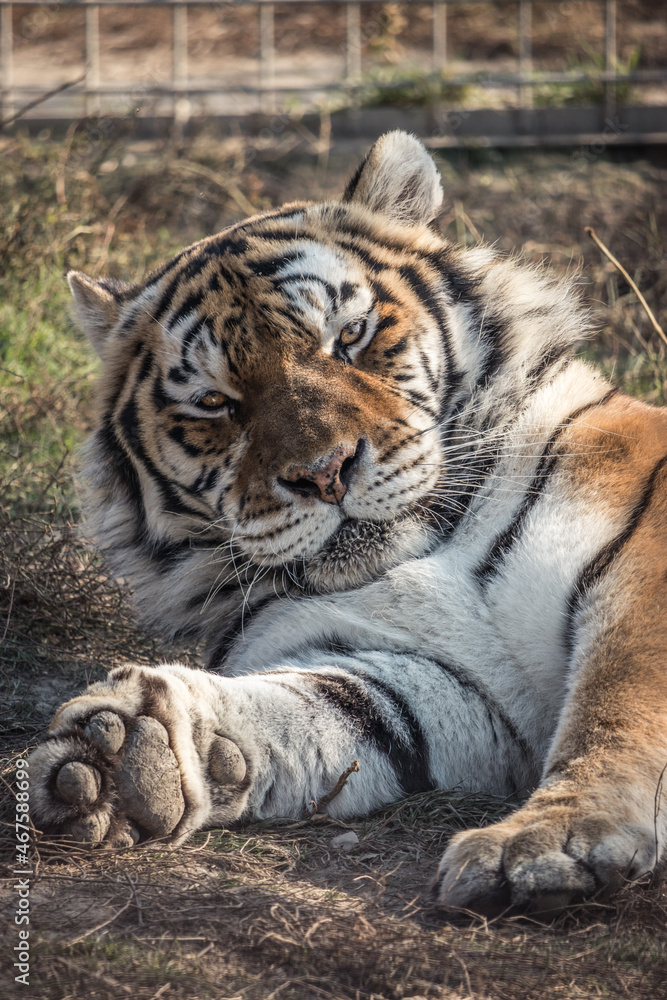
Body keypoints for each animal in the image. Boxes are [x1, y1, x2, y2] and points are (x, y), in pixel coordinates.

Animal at [30, 131, 667, 916]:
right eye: (215, 402)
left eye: (351, 336)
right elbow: (324, 709)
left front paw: (549, 842)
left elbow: (615, 707)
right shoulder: (435, 678)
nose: (325, 471)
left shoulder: (640, 567)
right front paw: (127, 756)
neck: (426, 545)